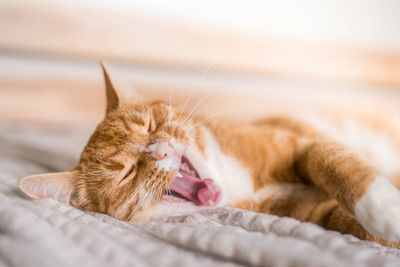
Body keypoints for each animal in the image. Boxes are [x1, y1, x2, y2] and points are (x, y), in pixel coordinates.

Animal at [18, 63, 400, 249]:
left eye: (151, 125)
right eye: (127, 172)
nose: (162, 148)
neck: (237, 182)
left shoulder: (304, 144)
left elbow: (333, 161)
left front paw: (383, 206)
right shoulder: (319, 215)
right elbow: (353, 226)